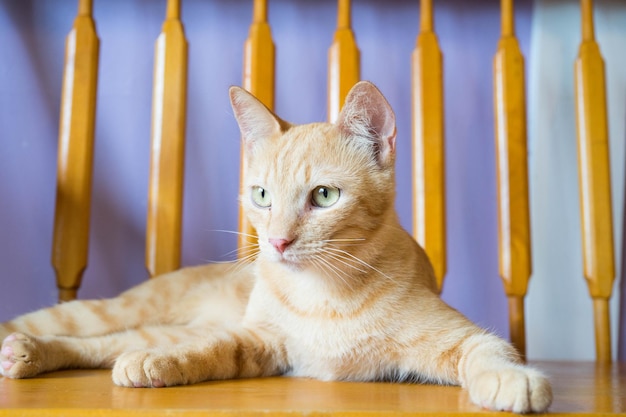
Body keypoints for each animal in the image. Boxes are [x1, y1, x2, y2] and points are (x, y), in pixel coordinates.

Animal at [0, 82, 548, 412]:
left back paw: (32, 355)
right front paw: (167, 363)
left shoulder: (447, 336)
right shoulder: (258, 338)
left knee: (115, 344)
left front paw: (511, 378)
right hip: (120, 310)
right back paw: (31, 349)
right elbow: (208, 348)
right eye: (261, 195)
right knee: (97, 333)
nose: (279, 241)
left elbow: (489, 347)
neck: (327, 294)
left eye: (324, 196)